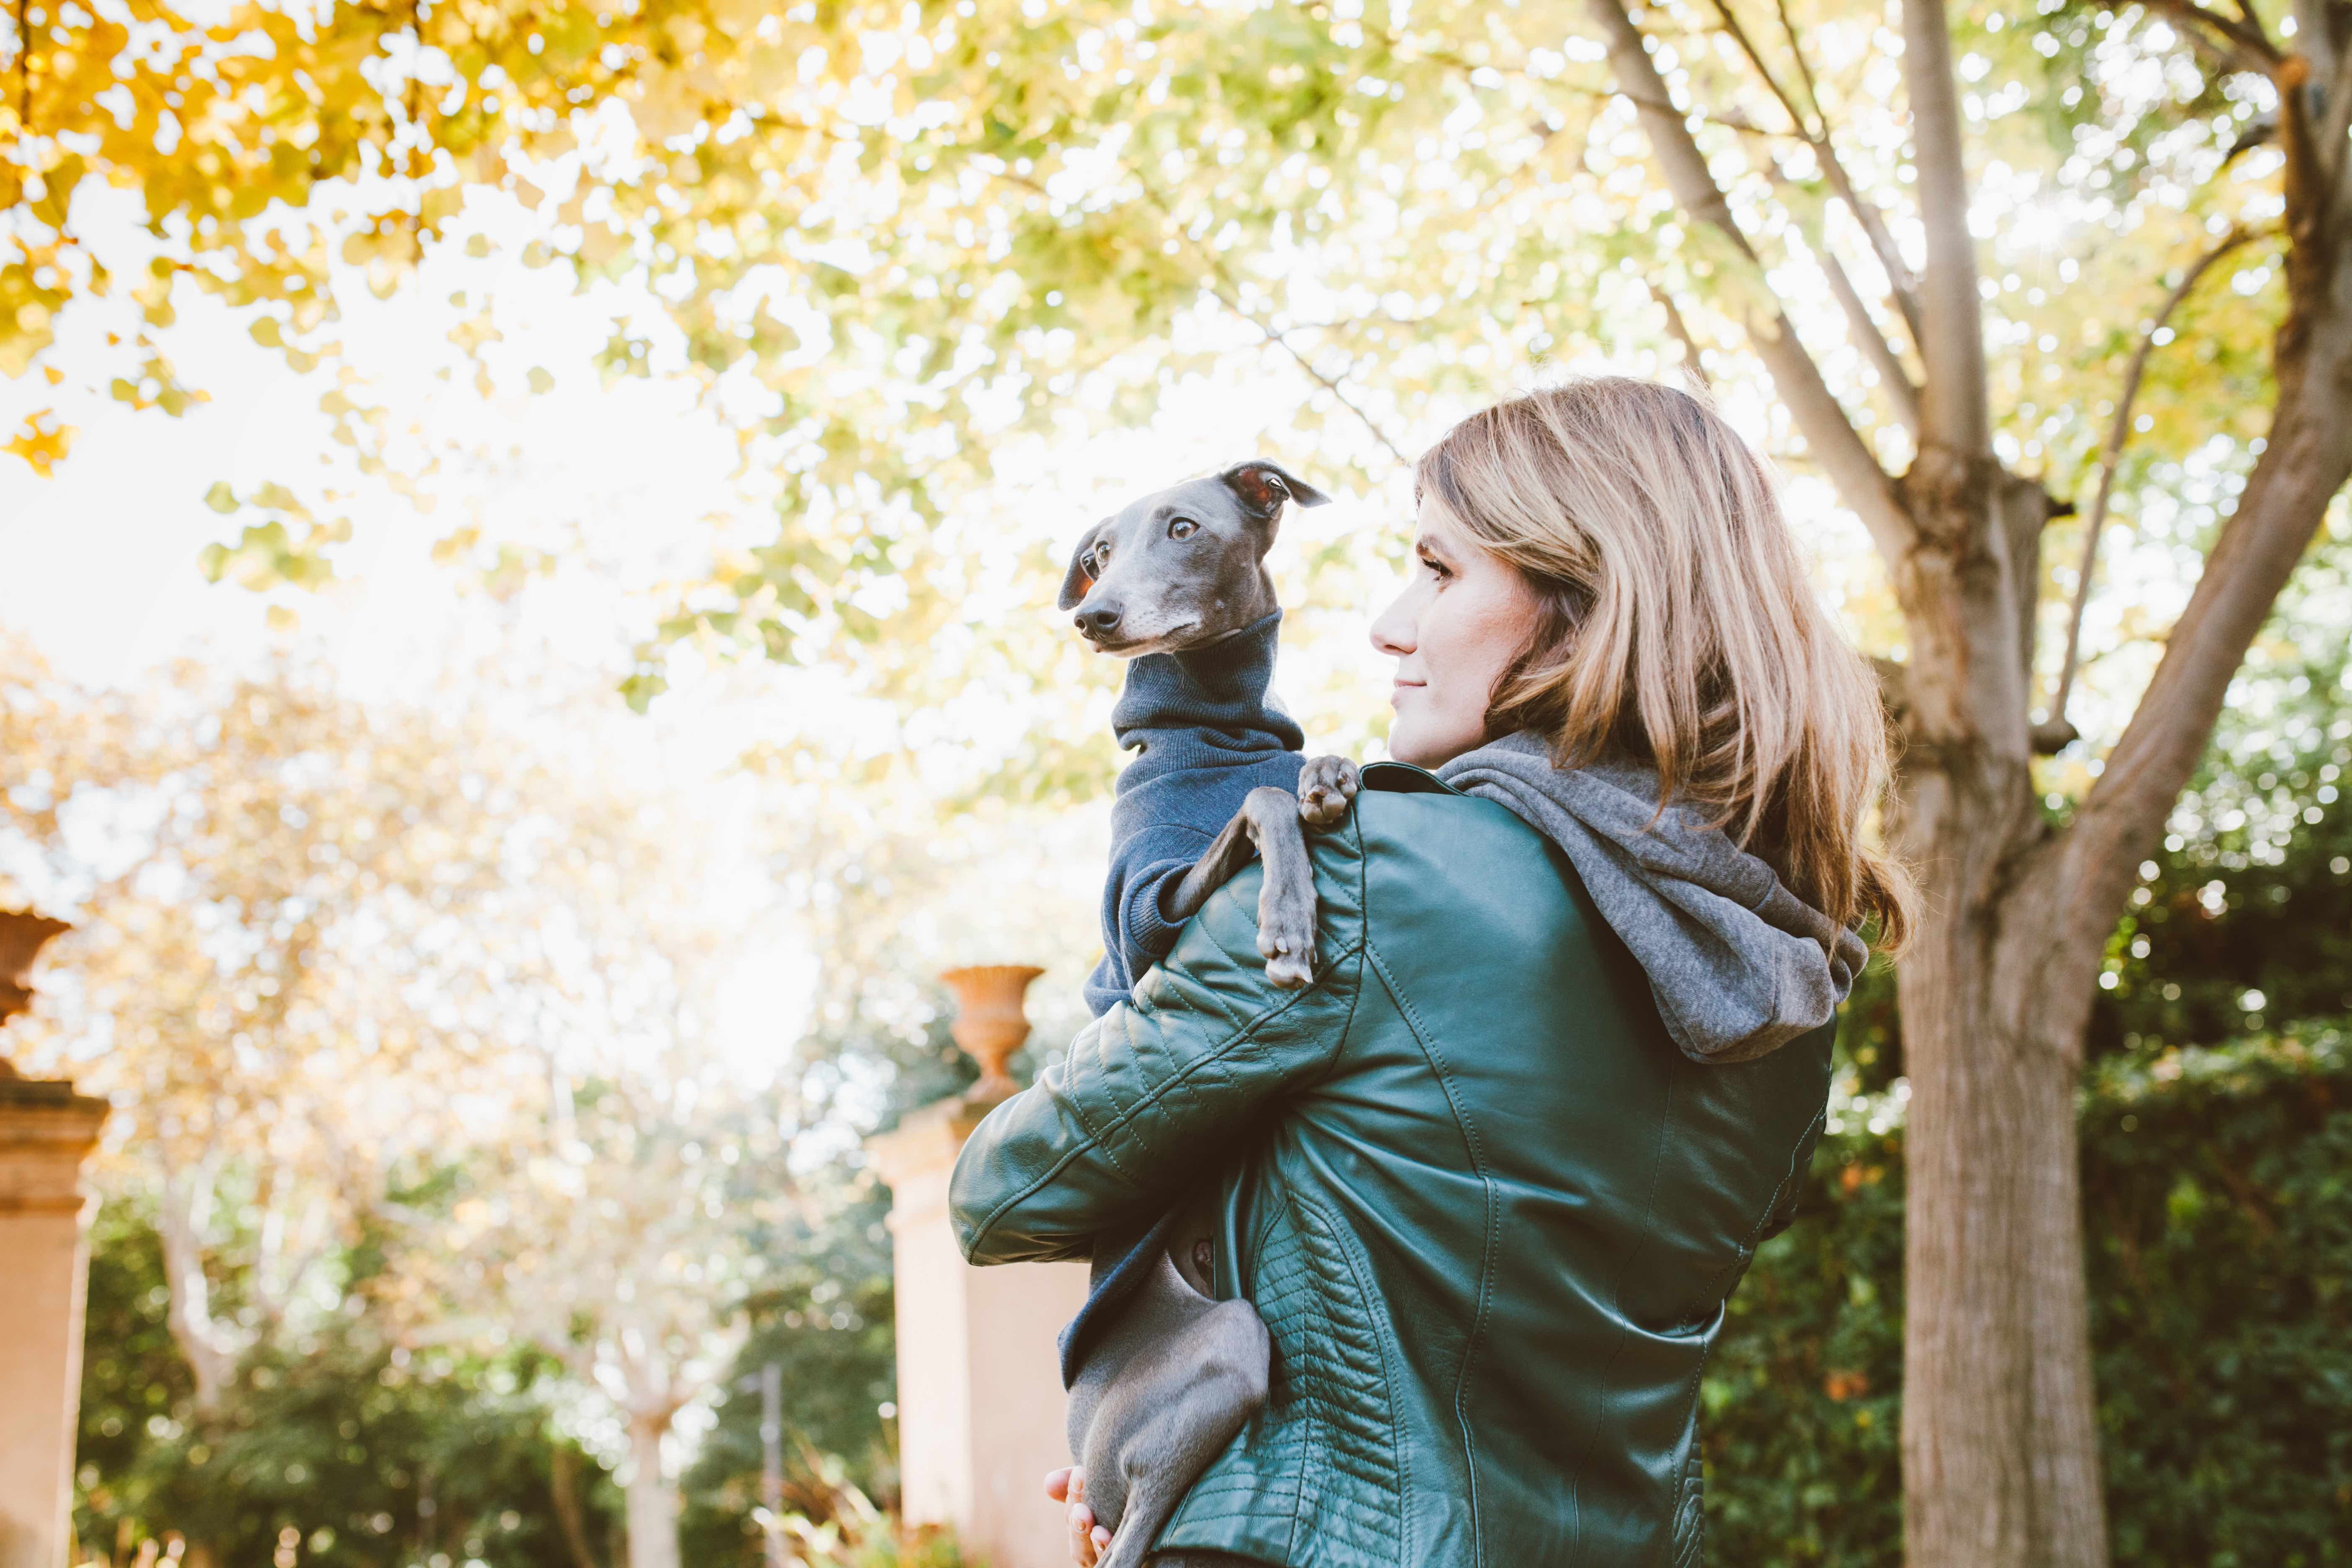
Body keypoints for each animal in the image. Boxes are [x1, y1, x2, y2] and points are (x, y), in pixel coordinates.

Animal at [1054, 463, 1364, 1568]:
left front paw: (1328, 774)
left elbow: (1295, 782)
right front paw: (1287, 920)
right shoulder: (1147, 913)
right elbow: (1259, 812)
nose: (1094, 616)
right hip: (1223, 1344)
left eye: (1184, 527)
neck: (1217, 729)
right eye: (1097, 554)